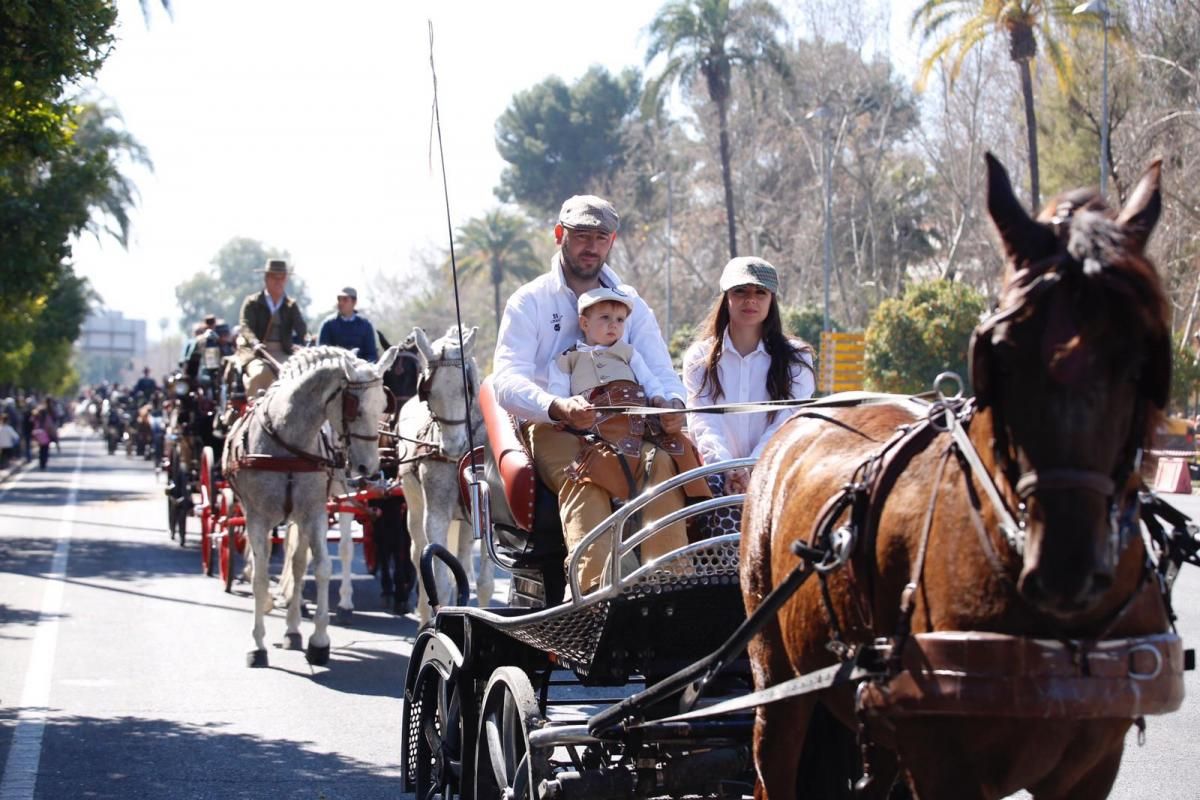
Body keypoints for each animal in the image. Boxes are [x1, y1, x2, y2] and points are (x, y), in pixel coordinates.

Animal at [220, 347, 398, 666]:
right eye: (354, 408)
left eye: (382, 406)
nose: (368, 468)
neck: (287, 442)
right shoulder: (257, 517)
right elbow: (261, 576)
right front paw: (257, 644)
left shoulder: (313, 512)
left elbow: (322, 567)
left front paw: (319, 639)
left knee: (307, 560)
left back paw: (297, 626)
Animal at [400, 326, 494, 623]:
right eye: (428, 391)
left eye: (467, 387)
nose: (451, 447)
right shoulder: (437, 516)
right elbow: (437, 578)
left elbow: (484, 583)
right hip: (414, 506)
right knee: (418, 555)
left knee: (462, 558)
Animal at [739, 155, 1171, 800]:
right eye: (1001, 353)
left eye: (1143, 355)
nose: (1066, 565)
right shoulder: (946, 764)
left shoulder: (1092, 766)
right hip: (776, 670)